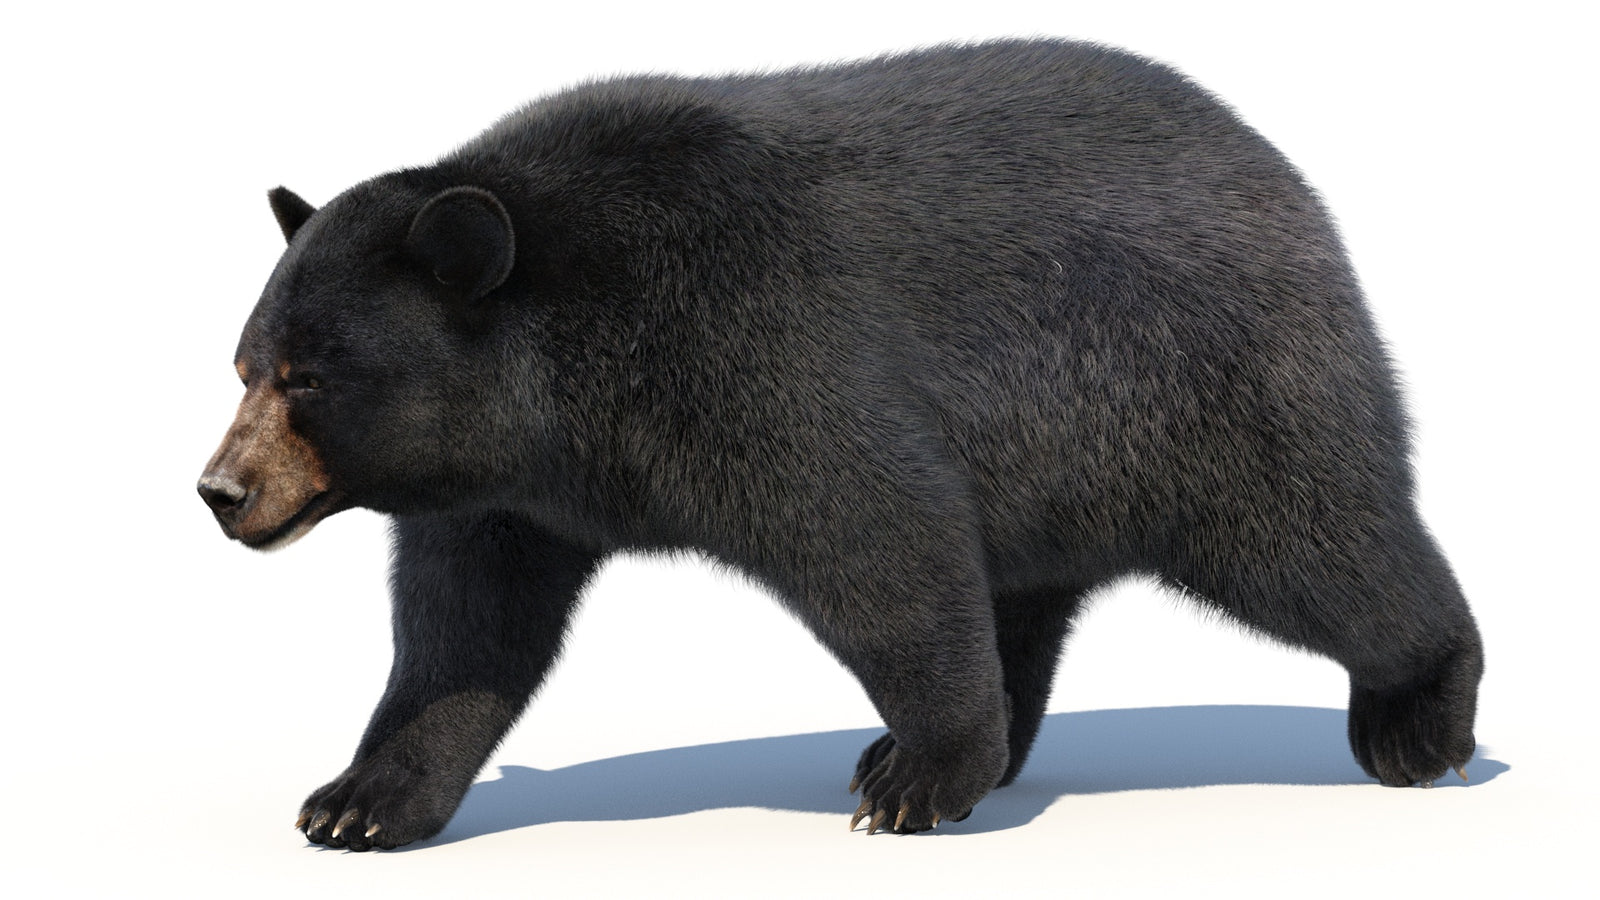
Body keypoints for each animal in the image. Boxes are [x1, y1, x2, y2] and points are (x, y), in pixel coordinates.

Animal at [198, 39, 1483, 851]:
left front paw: (920, 782)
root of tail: (1283, 178)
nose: (221, 490)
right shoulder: (506, 489)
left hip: (1195, 393)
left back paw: (1419, 718)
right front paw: (358, 800)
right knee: (1024, 595)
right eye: (246, 364)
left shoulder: (752, 347)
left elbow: (876, 539)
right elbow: (463, 631)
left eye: (311, 377)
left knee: (1318, 544)